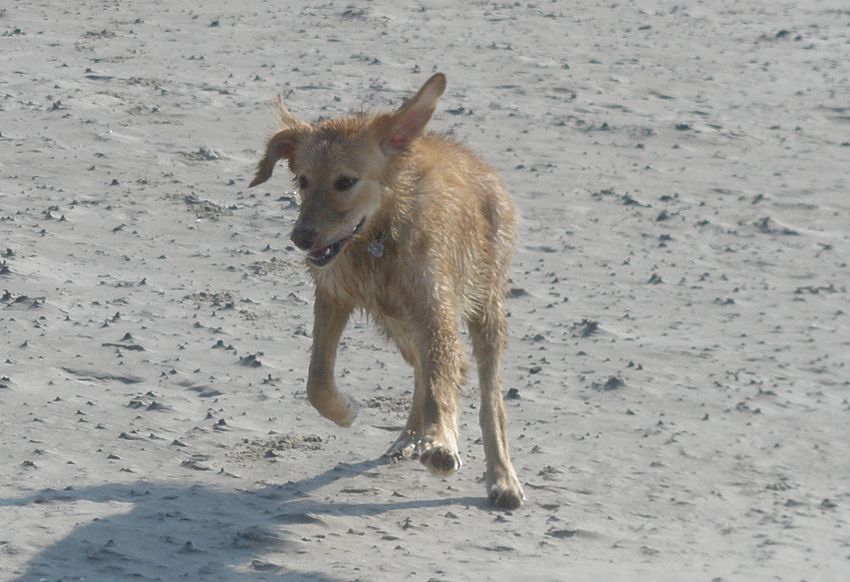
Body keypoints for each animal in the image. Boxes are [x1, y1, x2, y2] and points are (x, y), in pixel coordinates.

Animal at [249, 73, 524, 509]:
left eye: (345, 182)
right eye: (303, 180)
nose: (301, 238)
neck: (378, 238)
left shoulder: (434, 306)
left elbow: (443, 381)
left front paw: (441, 443)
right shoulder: (333, 295)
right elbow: (317, 381)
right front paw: (345, 410)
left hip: (485, 308)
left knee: (487, 396)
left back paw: (501, 478)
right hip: (397, 323)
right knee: (422, 370)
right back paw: (409, 437)